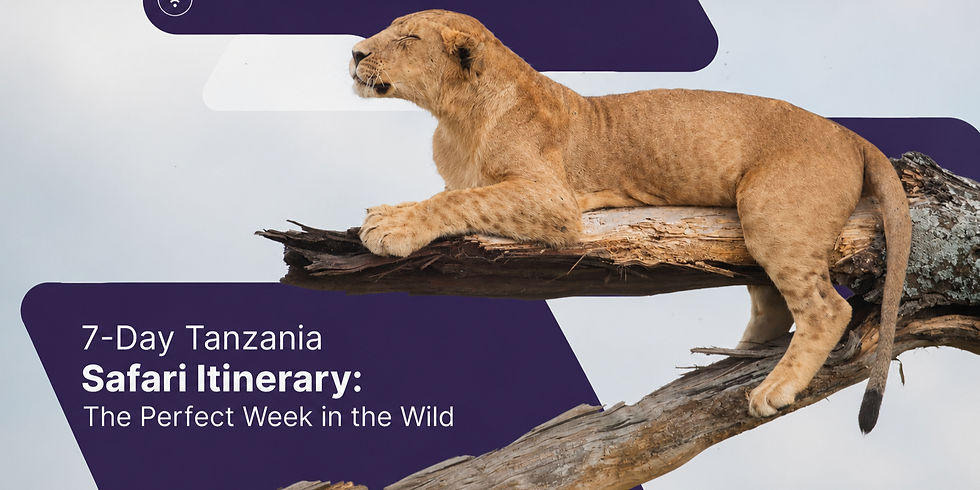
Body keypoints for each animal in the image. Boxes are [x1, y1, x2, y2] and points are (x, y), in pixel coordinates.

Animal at [349, 9, 911, 432]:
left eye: (407, 37)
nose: (354, 53)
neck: (456, 118)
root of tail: (850, 134)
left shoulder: (554, 200)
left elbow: (460, 202)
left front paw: (392, 228)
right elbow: (450, 194)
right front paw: (392, 212)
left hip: (769, 209)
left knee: (826, 309)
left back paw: (776, 387)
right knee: (774, 303)